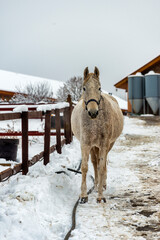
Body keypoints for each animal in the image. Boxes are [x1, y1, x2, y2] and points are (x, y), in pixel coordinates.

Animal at [71, 66, 124, 203]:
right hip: (93, 147)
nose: (93, 112)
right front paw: (83, 195)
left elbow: (101, 167)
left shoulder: (104, 144)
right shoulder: (85, 144)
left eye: (99, 88)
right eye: (84, 88)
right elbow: (85, 167)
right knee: (94, 162)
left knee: (102, 165)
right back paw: (95, 186)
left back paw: (102, 184)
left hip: (108, 144)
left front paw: (100, 196)